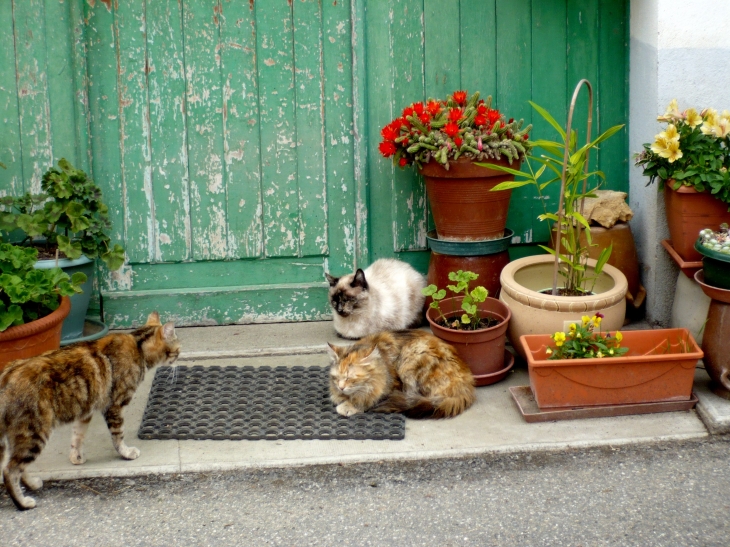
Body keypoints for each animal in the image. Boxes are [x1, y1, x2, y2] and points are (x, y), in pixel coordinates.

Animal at [0, 312, 179, 510]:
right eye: (178, 347)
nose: (180, 355)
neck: (138, 346)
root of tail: (7, 375)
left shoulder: (85, 413)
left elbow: (77, 438)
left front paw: (76, 457)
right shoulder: (114, 406)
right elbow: (118, 436)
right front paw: (126, 453)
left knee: (16, 466)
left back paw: (32, 484)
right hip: (34, 433)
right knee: (10, 470)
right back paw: (23, 502)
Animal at [328, 330, 474, 420]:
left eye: (349, 378)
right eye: (337, 378)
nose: (341, 387)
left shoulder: (390, 387)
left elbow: (365, 399)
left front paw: (348, 406)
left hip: (411, 356)